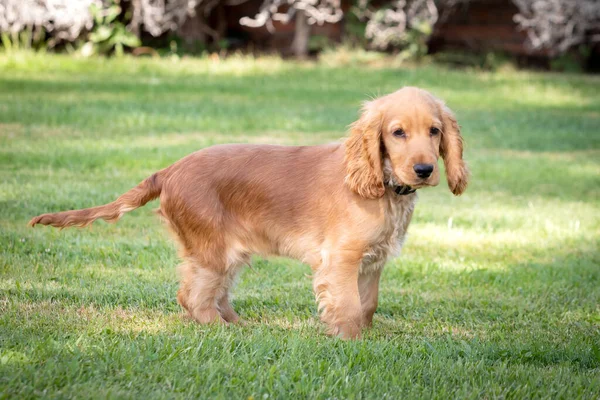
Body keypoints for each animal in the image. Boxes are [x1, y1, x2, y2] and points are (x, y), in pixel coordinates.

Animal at [29, 86, 468, 338]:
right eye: (397, 133)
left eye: (434, 131)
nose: (425, 170)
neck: (383, 187)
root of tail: (168, 170)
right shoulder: (340, 259)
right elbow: (347, 306)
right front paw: (351, 341)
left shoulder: (371, 262)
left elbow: (368, 304)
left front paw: (367, 335)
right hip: (213, 249)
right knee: (194, 297)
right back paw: (225, 332)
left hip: (227, 251)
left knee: (209, 293)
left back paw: (242, 325)